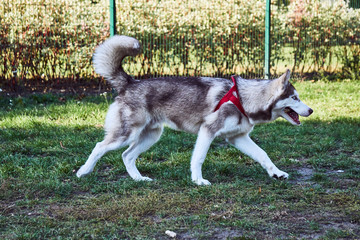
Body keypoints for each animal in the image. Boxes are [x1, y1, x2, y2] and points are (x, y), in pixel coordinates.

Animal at [76, 35, 312, 186]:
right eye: (295, 98)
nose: (310, 110)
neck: (244, 98)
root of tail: (130, 82)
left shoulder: (237, 138)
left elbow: (263, 155)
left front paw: (277, 173)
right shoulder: (207, 131)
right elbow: (199, 158)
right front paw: (198, 180)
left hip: (151, 135)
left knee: (127, 156)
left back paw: (139, 179)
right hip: (126, 134)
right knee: (100, 147)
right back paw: (83, 171)